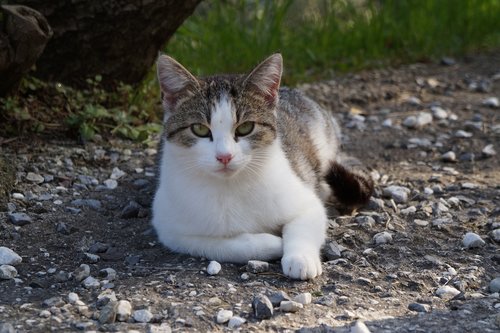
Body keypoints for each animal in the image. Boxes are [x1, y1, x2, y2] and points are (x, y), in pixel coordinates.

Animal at [150, 53, 374, 278]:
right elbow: (219, 245)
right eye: (199, 129)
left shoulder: (306, 201)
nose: (225, 156)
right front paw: (273, 243)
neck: (231, 186)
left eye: (246, 127)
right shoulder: (170, 228)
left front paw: (300, 259)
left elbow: (303, 224)